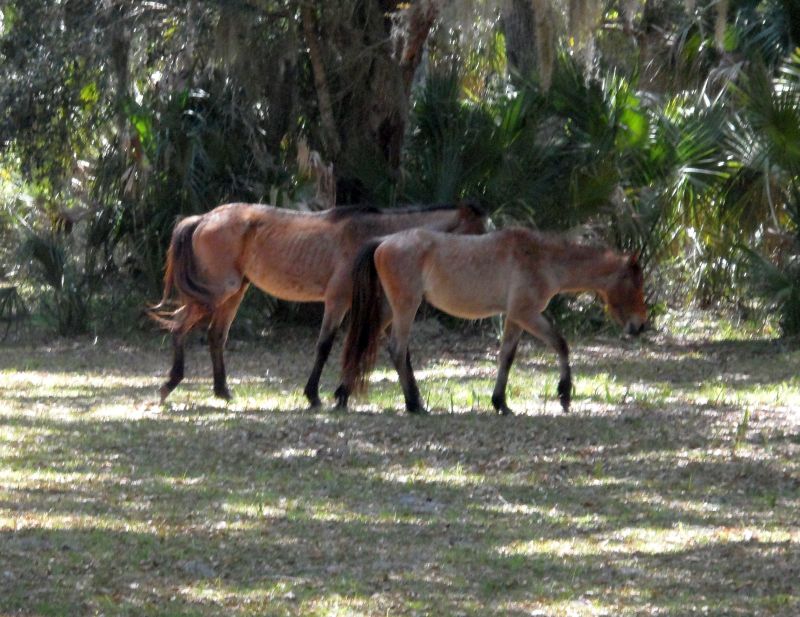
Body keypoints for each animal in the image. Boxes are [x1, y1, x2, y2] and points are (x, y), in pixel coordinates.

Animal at [149, 201, 487, 405]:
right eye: (476, 234)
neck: (373, 235)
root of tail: (204, 217)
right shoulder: (338, 301)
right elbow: (325, 345)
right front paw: (314, 395)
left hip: (233, 294)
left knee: (216, 336)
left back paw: (222, 391)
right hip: (219, 292)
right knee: (179, 325)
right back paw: (171, 383)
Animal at [336, 226, 648, 415]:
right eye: (635, 283)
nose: (641, 325)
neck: (543, 259)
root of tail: (384, 241)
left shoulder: (515, 319)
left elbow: (506, 357)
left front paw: (500, 402)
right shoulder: (526, 314)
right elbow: (561, 344)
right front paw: (564, 394)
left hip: (390, 310)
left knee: (363, 342)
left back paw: (343, 395)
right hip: (405, 308)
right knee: (397, 350)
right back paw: (414, 404)